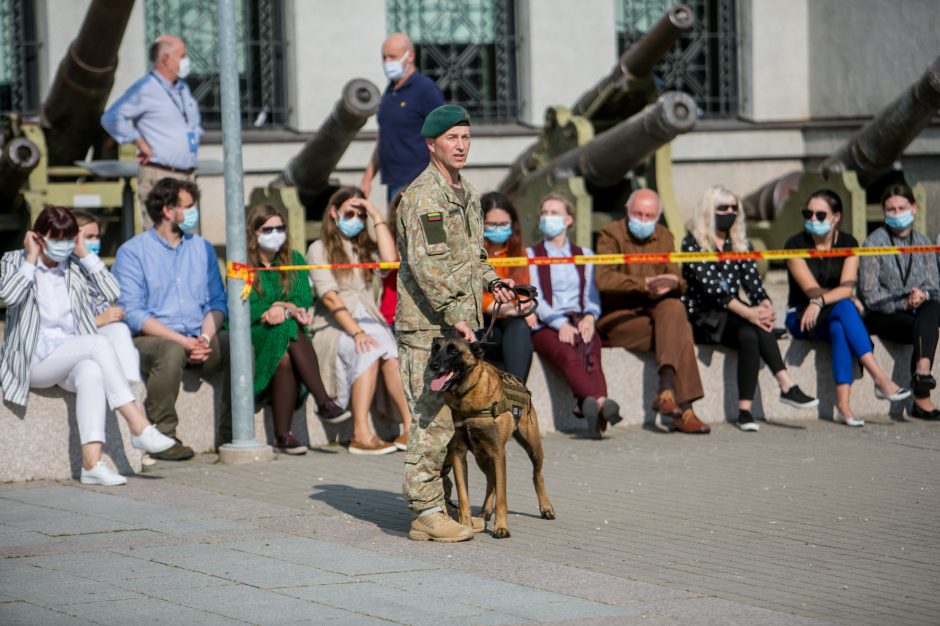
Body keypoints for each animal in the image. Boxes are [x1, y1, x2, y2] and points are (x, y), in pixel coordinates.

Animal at [430, 336, 556, 536]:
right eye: (435, 349)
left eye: (453, 351)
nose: (432, 365)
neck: (468, 395)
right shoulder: (458, 453)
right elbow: (464, 496)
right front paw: (465, 524)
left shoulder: (498, 453)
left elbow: (502, 495)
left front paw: (501, 527)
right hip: (481, 455)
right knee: (490, 479)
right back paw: (486, 510)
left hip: (532, 446)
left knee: (536, 475)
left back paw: (546, 507)